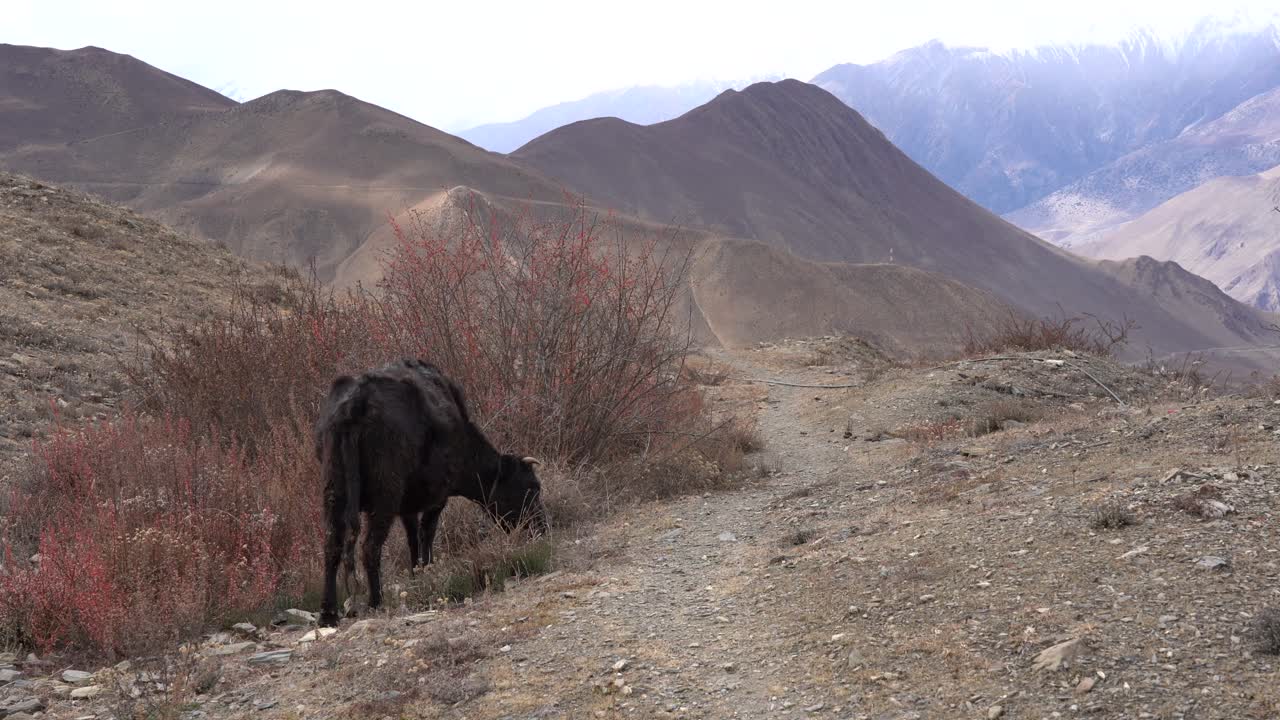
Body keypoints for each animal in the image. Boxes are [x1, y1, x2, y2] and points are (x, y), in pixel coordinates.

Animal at [314, 358, 546, 627]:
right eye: (532, 488)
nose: (542, 527)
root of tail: (356, 403)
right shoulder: (438, 496)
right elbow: (427, 532)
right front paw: (428, 568)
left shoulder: (408, 505)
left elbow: (413, 537)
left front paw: (417, 573)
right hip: (385, 495)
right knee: (370, 546)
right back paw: (375, 601)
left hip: (333, 492)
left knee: (332, 545)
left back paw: (328, 613)